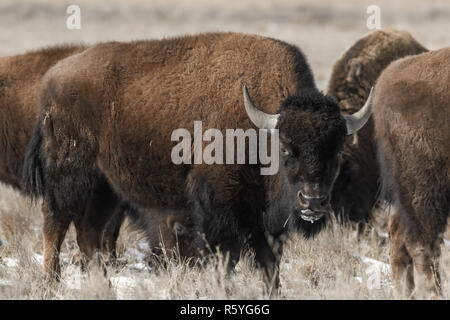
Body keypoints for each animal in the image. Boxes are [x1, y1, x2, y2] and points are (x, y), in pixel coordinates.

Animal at [22, 32, 370, 290]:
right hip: (69, 175)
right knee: (55, 223)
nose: (313, 201)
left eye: (337, 151)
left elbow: (270, 265)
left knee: (88, 232)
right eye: (286, 149)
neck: (260, 130)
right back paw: (51, 283)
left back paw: (103, 286)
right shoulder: (220, 211)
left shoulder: (265, 222)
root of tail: (52, 78)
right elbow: (226, 259)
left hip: (106, 187)